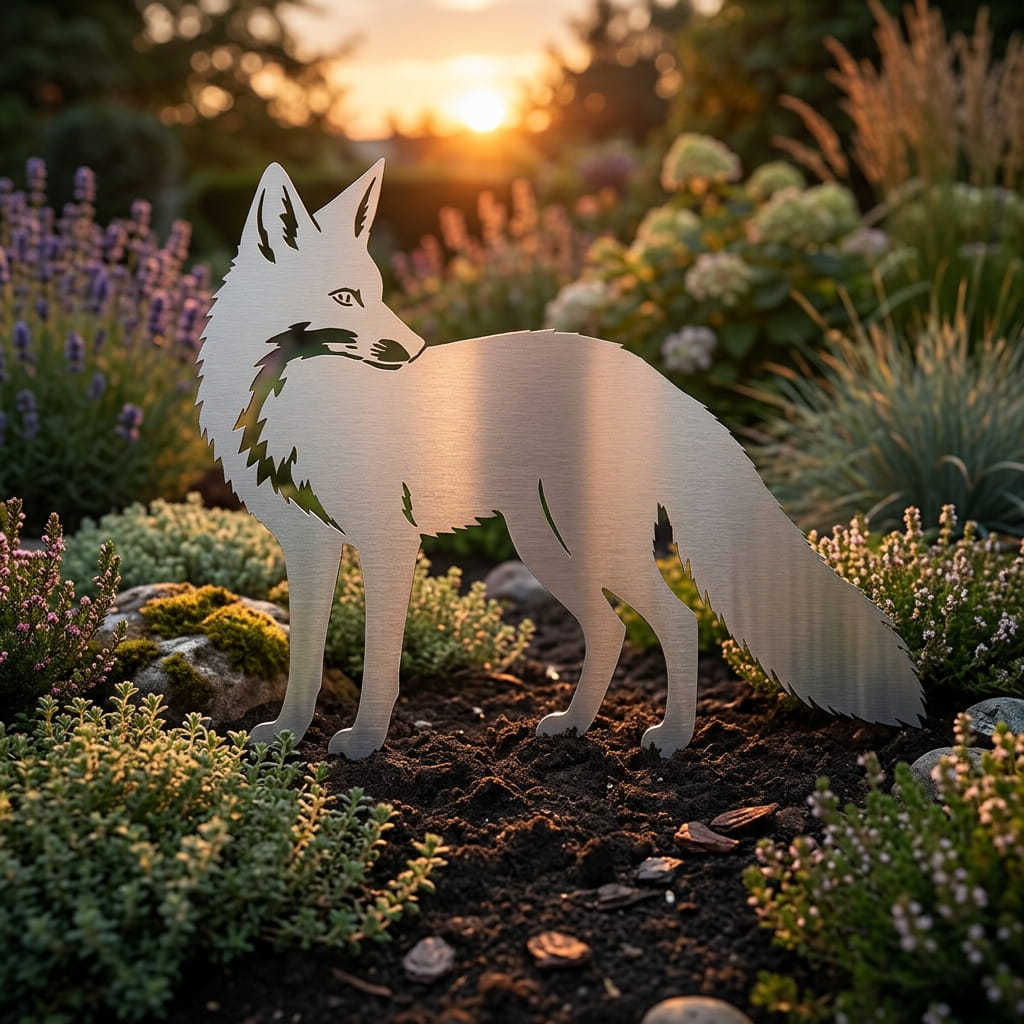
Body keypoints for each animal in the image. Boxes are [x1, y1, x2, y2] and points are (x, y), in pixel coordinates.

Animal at [197, 160, 924, 760]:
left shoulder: (387, 541)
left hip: (588, 548)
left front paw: (366, 744)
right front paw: (288, 737)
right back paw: (576, 725)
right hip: (547, 548)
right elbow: (306, 660)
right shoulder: (309, 545)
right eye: (346, 298)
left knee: (678, 621)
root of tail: (655, 377)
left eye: (374, 293)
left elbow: (380, 665)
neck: (293, 405)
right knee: (612, 630)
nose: (415, 348)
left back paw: (674, 741)